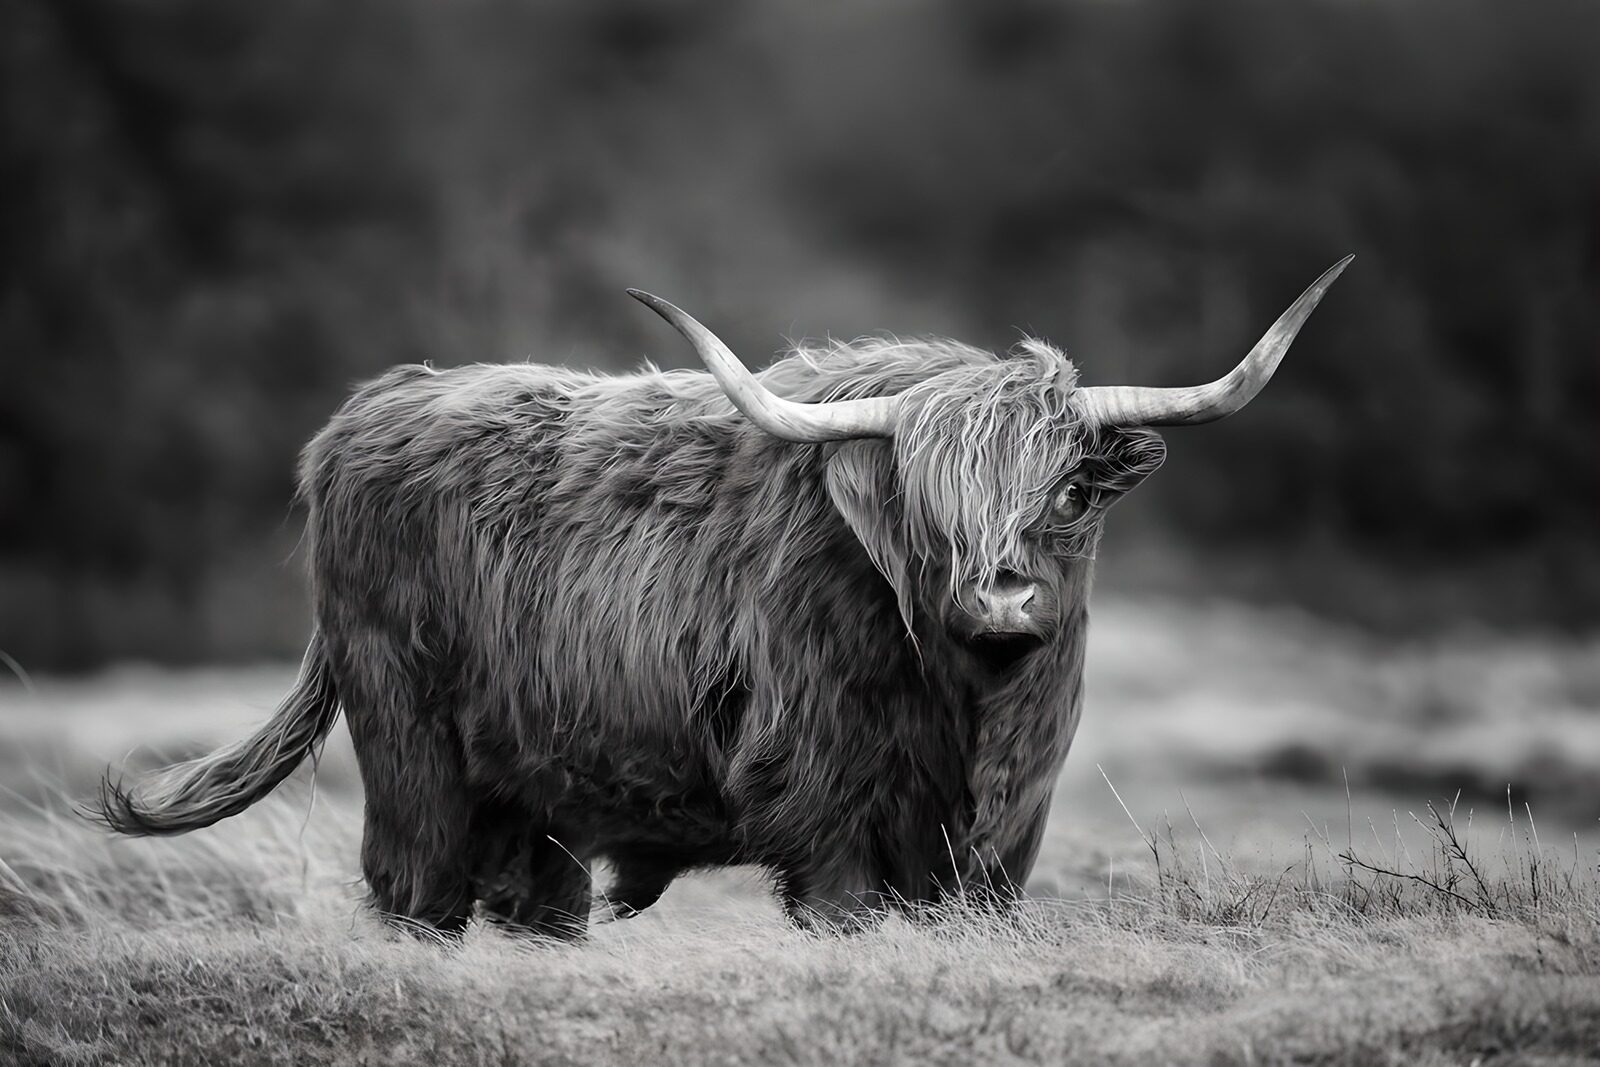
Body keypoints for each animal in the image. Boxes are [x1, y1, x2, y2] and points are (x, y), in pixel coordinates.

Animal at [93, 258, 1350, 937]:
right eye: (927, 506)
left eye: (1070, 495)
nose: (1000, 598)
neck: (966, 707)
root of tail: (368, 411)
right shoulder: (823, 803)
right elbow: (843, 904)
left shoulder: (1007, 833)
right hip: (409, 743)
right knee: (419, 887)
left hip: (531, 785)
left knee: (535, 897)